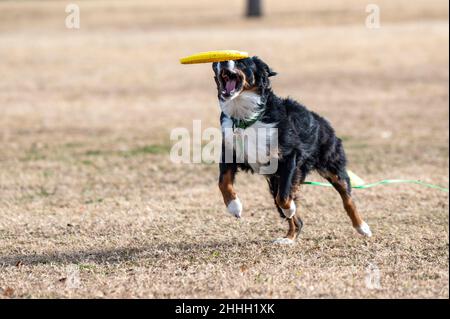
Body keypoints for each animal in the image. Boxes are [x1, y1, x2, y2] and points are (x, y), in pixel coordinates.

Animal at [213, 57, 370, 245]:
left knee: (347, 199)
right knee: (296, 218)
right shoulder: (230, 153)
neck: (246, 118)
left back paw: (362, 227)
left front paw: (289, 209)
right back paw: (288, 238)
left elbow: (284, 198)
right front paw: (234, 207)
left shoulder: (288, 157)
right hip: (276, 182)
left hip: (332, 167)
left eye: (241, 61)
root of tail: (321, 120)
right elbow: (223, 183)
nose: (221, 61)